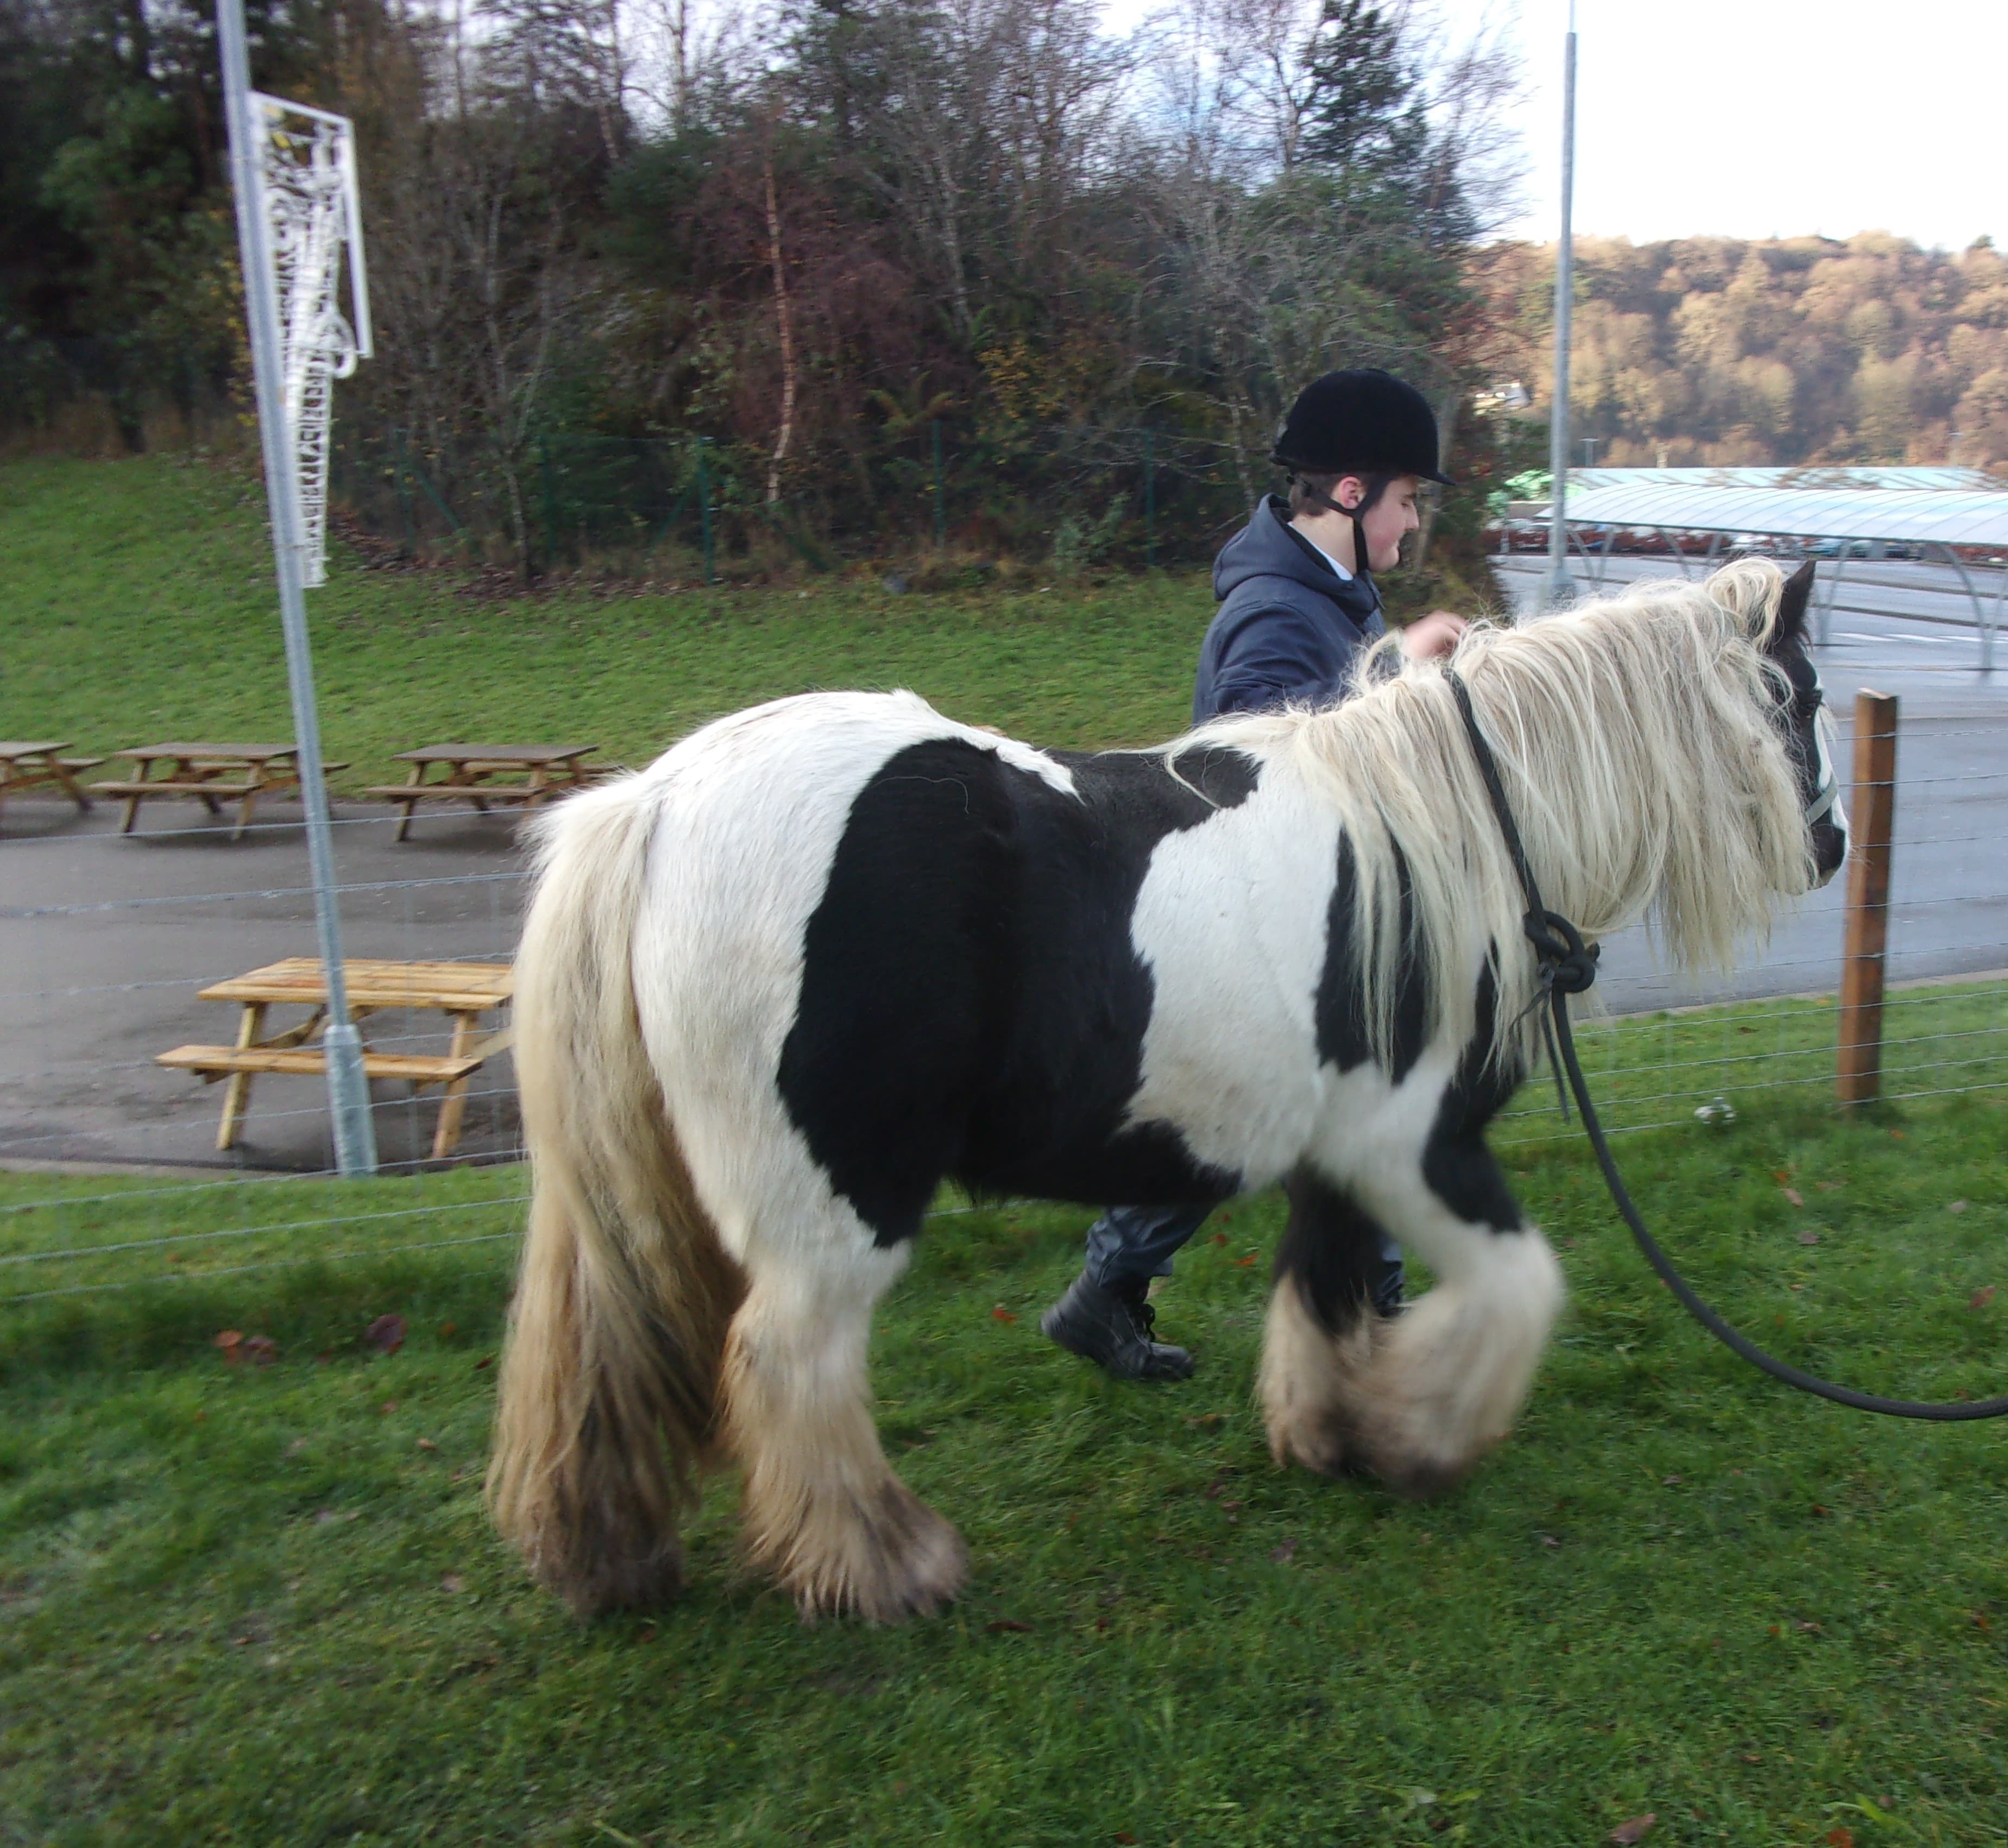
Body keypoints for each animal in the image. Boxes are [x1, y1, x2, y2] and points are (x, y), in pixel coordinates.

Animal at [494, 558, 1839, 1614]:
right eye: (1809, 693)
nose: (1831, 845)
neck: (1444, 845)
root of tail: (657, 803)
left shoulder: (1339, 1160)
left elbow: (1325, 1294)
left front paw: (1334, 1435)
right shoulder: (1420, 1149)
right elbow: (1519, 1288)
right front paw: (1426, 1438)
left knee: (615, 1349)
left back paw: (610, 1556)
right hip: (836, 1212)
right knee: (789, 1363)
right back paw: (887, 1567)